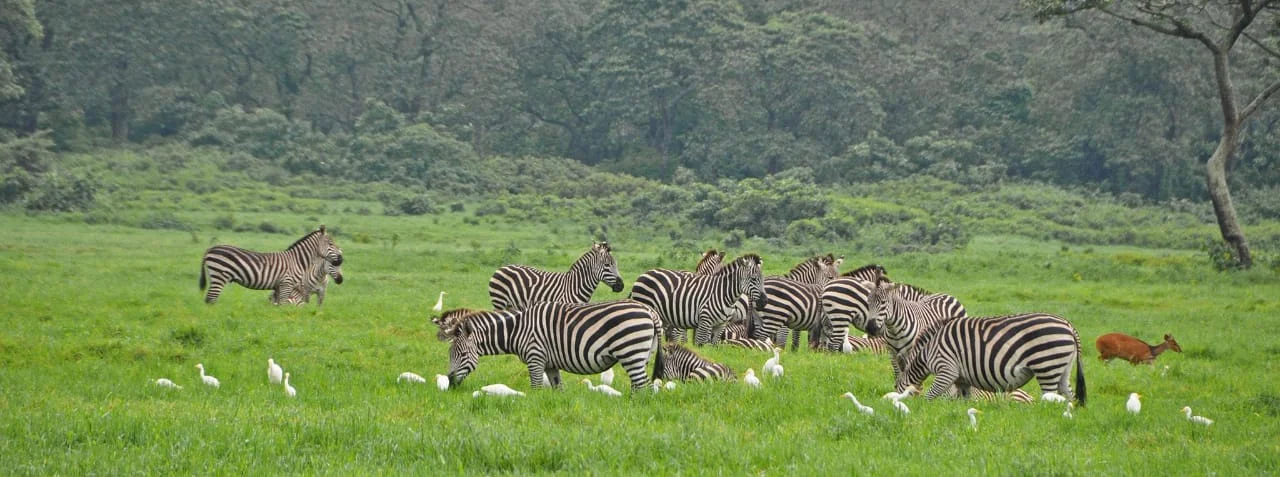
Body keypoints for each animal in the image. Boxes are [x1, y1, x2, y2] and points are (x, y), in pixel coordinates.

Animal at [200, 225, 344, 304]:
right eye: (331, 243)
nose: (341, 259)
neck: (297, 260)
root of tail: (210, 248)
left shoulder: (279, 286)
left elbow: (277, 306)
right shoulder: (287, 284)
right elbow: (284, 306)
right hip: (219, 275)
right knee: (210, 299)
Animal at [433, 299, 662, 392]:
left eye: (462, 354)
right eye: (450, 354)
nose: (450, 382)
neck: (518, 330)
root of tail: (649, 311)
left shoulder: (535, 358)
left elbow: (535, 388)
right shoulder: (551, 364)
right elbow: (558, 389)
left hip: (631, 352)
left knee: (645, 387)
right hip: (641, 355)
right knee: (642, 386)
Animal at [488, 242, 624, 311]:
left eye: (616, 264)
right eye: (607, 265)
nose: (621, 286)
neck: (575, 286)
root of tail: (501, 268)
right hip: (499, 302)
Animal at [630, 254, 766, 345]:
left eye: (762, 278)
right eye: (753, 279)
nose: (765, 300)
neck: (723, 293)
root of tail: (643, 274)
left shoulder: (720, 325)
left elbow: (713, 346)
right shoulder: (704, 322)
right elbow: (699, 344)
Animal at [895, 313, 1087, 405]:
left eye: (896, 389)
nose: (892, 404)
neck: (928, 350)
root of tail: (1068, 325)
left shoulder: (947, 370)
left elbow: (929, 397)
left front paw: (923, 411)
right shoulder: (962, 379)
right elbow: (964, 401)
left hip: (1047, 365)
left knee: (1051, 398)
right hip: (1062, 368)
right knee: (1070, 397)